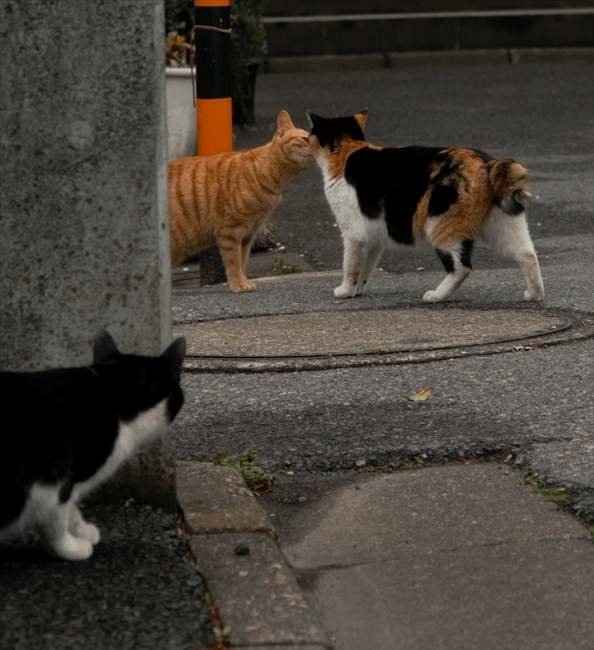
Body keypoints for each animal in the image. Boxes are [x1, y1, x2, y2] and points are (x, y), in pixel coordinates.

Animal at [0, 332, 185, 560]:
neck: (111, 397)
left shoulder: (70, 480)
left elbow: (71, 506)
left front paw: (81, 529)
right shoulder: (50, 481)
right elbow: (55, 522)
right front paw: (71, 548)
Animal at [168, 110, 312, 292]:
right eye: (305, 139)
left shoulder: (248, 234)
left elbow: (243, 261)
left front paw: (243, 281)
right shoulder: (231, 231)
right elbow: (234, 262)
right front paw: (237, 284)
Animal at [308, 110, 544, 302]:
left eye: (311, 134)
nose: (305, 137)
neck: (347, 152)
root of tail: (487, 163)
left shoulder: (353, 233)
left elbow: (351, 264)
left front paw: (345, 290)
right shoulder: (373, 236)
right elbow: (367, 265)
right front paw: (358, 290)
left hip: (441, 225)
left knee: (461, 267)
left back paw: (436, 295)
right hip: (503, 225)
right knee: (528, 255)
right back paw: (534, 294)